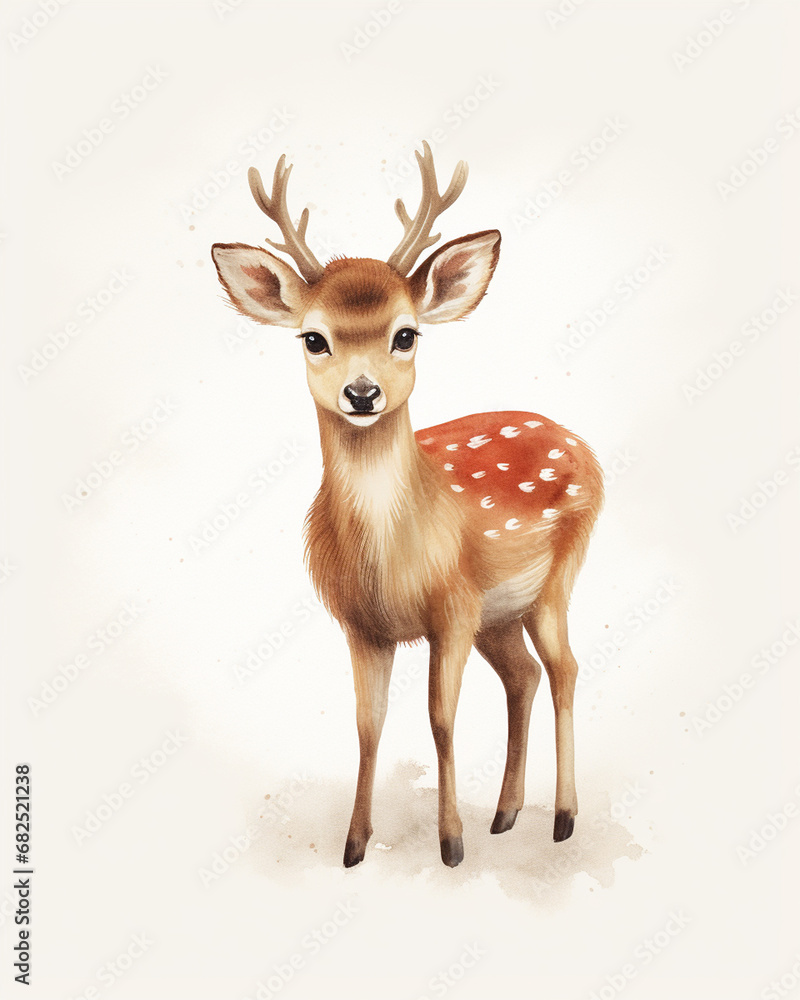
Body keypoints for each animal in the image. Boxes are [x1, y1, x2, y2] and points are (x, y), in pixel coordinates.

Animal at [211, 142, 604, 868]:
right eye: (313, 338)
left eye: (406, 335)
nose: (362, 393)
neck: (389, 561)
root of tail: (582, 447)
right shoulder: (360, 624)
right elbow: (369, 725)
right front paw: (354, 845)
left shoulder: (452, 606)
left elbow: (440, 718)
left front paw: (449, 844)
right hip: (499, 616)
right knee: (524, 677)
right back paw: (505, 814)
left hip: (555, 577)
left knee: (563, 669)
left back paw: (562, 819)